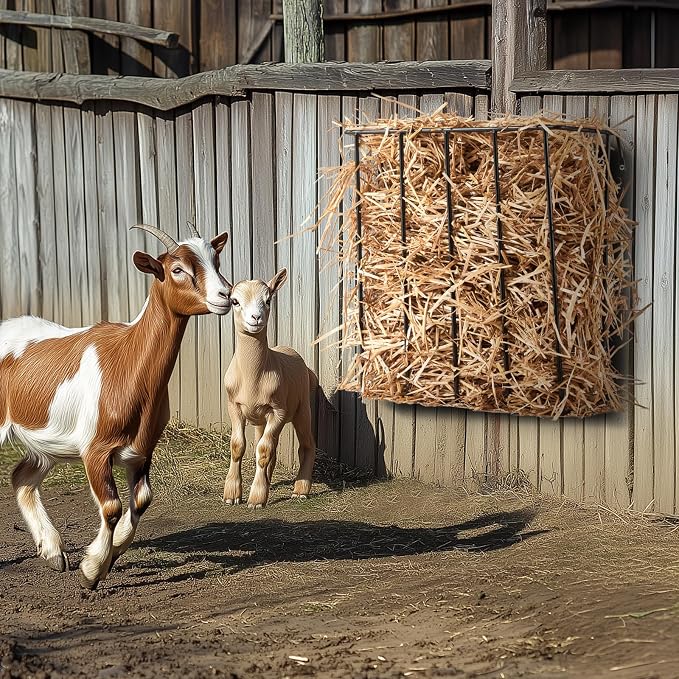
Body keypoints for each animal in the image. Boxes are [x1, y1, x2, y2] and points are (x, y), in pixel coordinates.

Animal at [2, 223, 231, 589]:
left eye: (216, 260)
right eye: (177, 269)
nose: (226, 295)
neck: (127, 360)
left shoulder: (142, 449)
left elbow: (141, 500)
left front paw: (111, 554)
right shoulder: (94, 450)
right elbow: (111, 506)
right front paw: (91, 570)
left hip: (47, 446)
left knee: (21, 477)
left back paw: (53, 554)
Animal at [223, 268, 317, 508]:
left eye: (267, 300)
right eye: (235, 301)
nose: (256, 318)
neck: (252, 377)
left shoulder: (278, 411)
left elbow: (263, 451)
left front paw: (256, 498)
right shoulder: (234, 406)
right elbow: (238, 446)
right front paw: (231, 494)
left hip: (302, 409)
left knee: (306, 445)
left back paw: (300, 490)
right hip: (261, 420)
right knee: (269, 445)